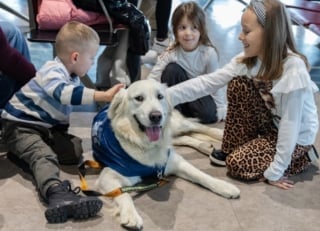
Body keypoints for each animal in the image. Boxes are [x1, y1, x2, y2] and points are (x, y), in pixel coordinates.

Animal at [91, 79, 239, 229]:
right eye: (139, 98)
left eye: (160, 96)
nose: (156, 116)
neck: (147, 145)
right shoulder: (108, 176)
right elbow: (123, 194)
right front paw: (131, 215)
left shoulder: (174, 162)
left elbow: (200, 175)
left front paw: (224, 186)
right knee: (186, 137)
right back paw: (206, 147)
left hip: (177, 125)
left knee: (200, 128)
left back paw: (220, 135)